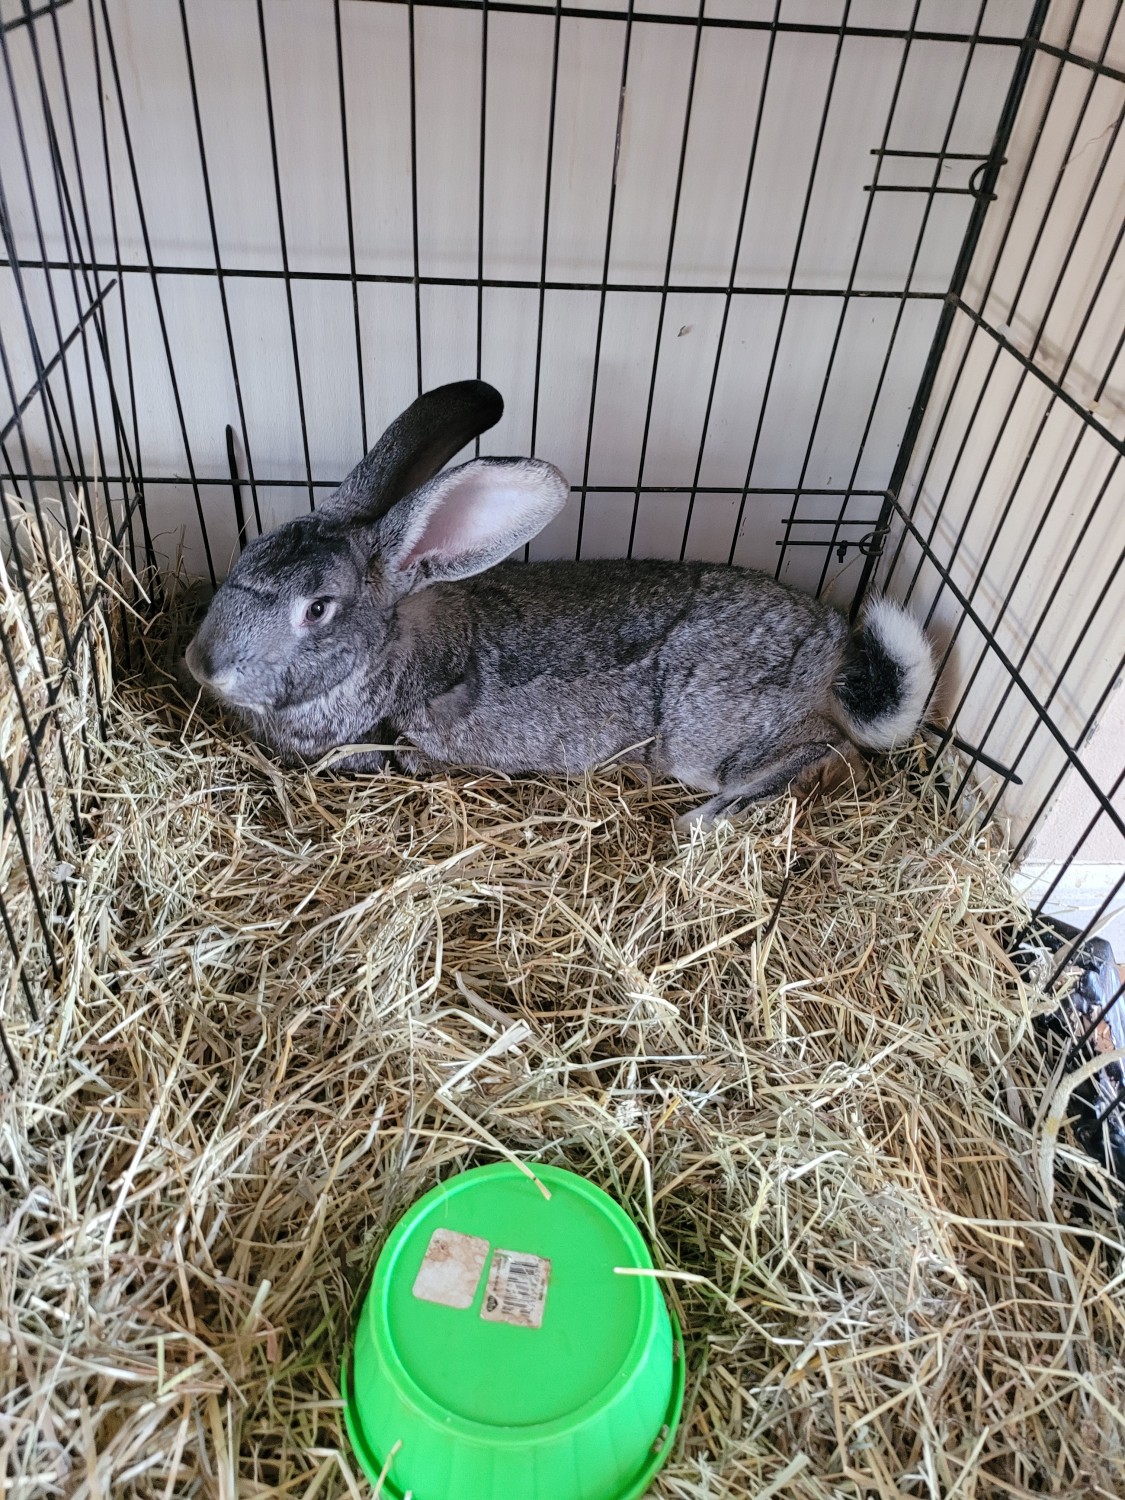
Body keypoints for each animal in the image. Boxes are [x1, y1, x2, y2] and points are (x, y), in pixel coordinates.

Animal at [185, 379, 935, 828]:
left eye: (316, 608)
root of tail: (832, 654)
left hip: (712, 731)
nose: (202, 664)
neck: (390, 651)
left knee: (832, 755)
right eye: (247, 553)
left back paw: (705, 820)